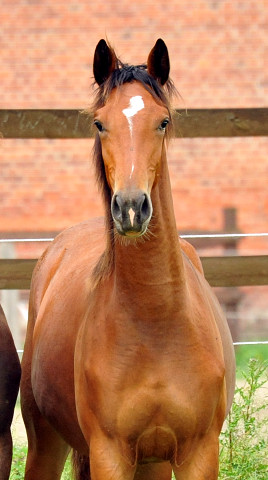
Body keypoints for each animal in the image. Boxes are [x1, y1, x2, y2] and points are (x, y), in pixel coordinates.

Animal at [20, 39, 234, 478]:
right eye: (100, 123)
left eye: (163, 121)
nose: (131, 208)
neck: (157, 323)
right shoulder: (109, 454)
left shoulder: (199, 453)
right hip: (46, 442)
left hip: (154, 462)